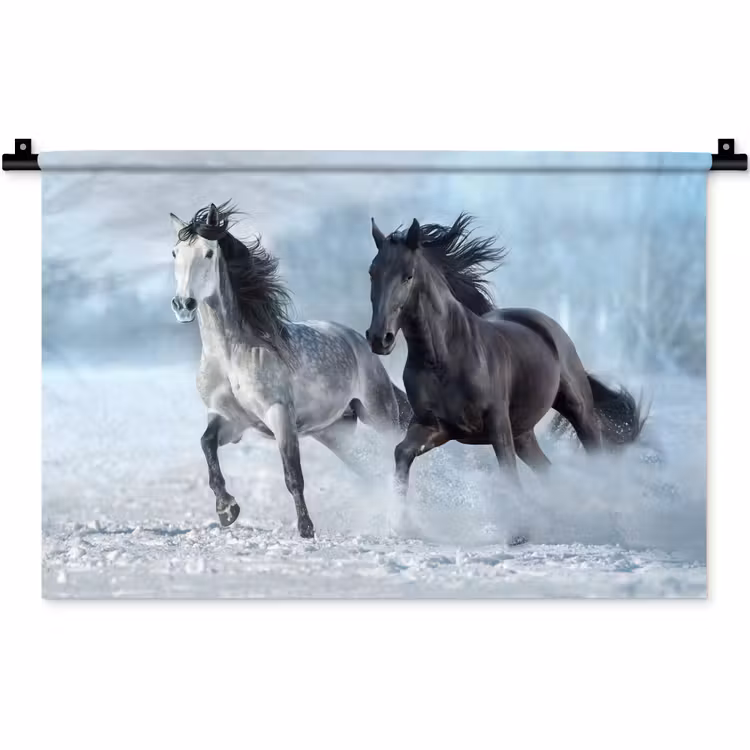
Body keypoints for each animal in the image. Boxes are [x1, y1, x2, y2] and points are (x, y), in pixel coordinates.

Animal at [170, 202, 411, 538]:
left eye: (207, 253)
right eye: (175, 253)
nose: (183, 305)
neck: (232, 356)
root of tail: (358, 341)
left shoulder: (279, 415)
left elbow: (292, 475)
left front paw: (306, 528)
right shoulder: (230, 420)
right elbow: (207, 445)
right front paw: (227, 509)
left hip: (379, 414)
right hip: (334, 433)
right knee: (370, 469)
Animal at [365, 212, 644, 506]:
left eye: (408, 276)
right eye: (372, 273)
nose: (379, 338)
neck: (443, 359)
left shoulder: (498, 426)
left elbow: (510, 479)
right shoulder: (434, 426)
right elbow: (401, 452)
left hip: (578, 411)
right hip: (523, 433)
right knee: (547, 470)